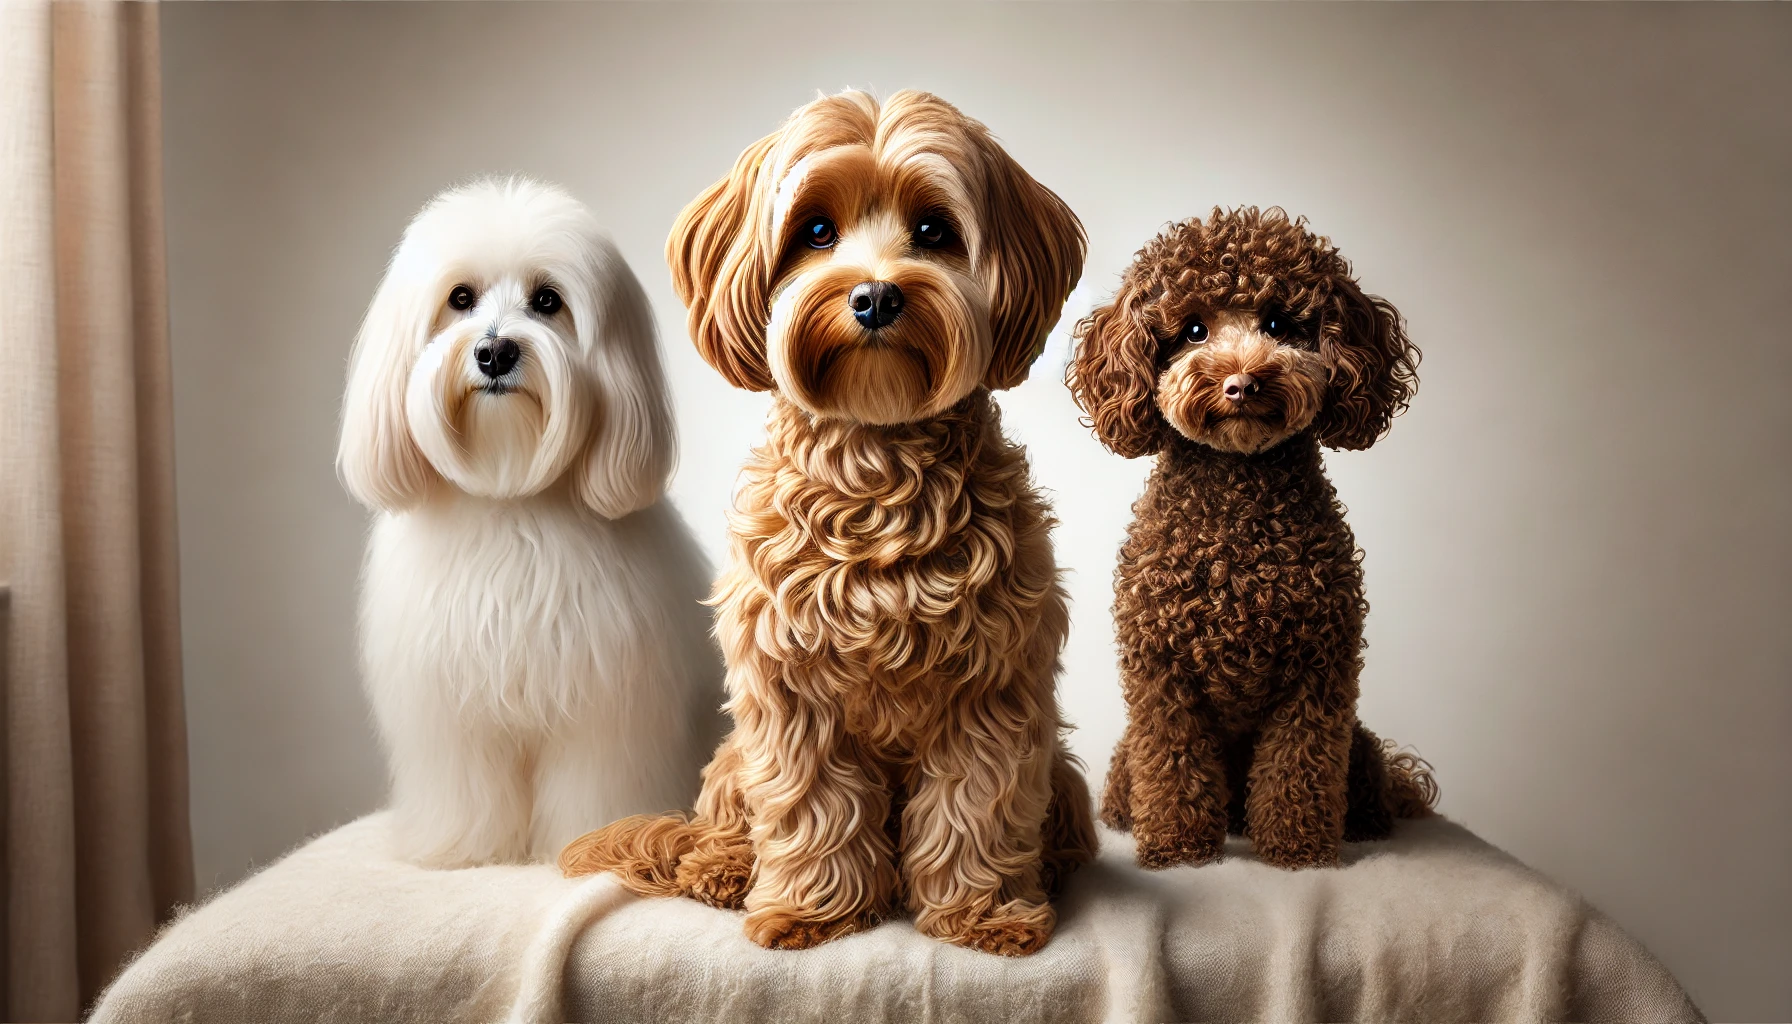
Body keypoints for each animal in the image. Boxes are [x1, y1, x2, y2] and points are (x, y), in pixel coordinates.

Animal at [333, 178, 723, 864]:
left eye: (547, 300)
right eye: (460, 298)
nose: (494, 351)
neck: (508, 494)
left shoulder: (602, 709)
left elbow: (594, 781)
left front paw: (586, 841)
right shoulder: (454, 715)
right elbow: (467, 787)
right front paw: (465, 847)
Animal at [559, 92, 1089, 961]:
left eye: (934, 229)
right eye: (814, 232)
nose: (875, 297)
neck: (876, 461)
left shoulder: (993, 687)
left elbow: (976, 802)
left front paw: (983, 916)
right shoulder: (789, 689)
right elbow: (811, 802)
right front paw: (812, 911)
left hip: (1067, 776)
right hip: (733, 757)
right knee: (724, 824)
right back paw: (720, 869)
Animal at [1060, 208, 1440, 875]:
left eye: (1278, 324)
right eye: (1192, 329)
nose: (1240, 383)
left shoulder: (1317, 671)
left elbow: (1298, 768)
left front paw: (1298, 851)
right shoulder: (1162, 675)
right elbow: (1174, 764)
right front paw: (1179, 849)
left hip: (1360, 744)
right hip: (1127, 756)